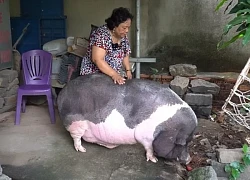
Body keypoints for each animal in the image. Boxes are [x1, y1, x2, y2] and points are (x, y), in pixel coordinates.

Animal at [56, 73, 197, 163]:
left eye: (190, 141)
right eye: (182, 142)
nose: (189, 160)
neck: (165, 127)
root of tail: (62, 93)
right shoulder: (145, 135)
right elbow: (149, 148)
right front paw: (154, 160)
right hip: (75, 123)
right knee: (76, 138)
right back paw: (82, 150)